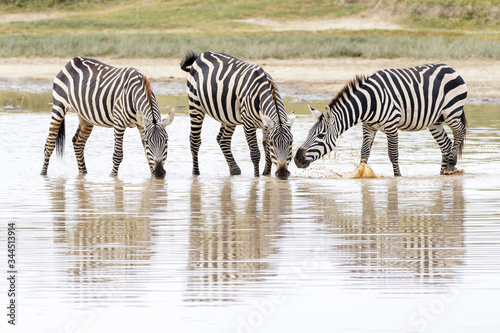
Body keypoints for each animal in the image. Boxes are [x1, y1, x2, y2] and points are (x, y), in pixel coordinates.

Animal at [40, 55, 175, 178]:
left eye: (166, 140)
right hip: (59, 105)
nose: (159, 173)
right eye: (148, 142)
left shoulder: (142, 126)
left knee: (78, 142)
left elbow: (147, 155)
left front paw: (153, 181)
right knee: (49, 144)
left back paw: (83, 174)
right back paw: (43, 174)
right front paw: (113, 178)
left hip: (85, 116)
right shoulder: (119, 123)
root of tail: (72, 60)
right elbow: (118, 155)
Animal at [180, 50, 294, 179]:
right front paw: (256, 178)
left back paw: (234, 170)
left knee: (223, 140)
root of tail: (202, 55)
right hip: (195, 104)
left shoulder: (266, 125)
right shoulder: (248, 124)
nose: (282, 173)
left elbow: (267, 150)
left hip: (228, 115)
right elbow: (255, 153)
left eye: (291, 142)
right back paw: (196, 173)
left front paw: (266, 176)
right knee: (195, 140)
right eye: (273, 143)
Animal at [294, 63, 466, 176]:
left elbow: (393, 154)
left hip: (452, 111)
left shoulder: (392, 126)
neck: (368, 103)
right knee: (445, 145)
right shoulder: (368, 127)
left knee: (460, 131)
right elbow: (364, 153)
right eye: (308, 133)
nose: (297, 159)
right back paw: (444, 173)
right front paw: (361, 174)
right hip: (435, 121)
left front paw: (398, 177)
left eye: (321, 135)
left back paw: (451, 163)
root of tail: (449, 67)